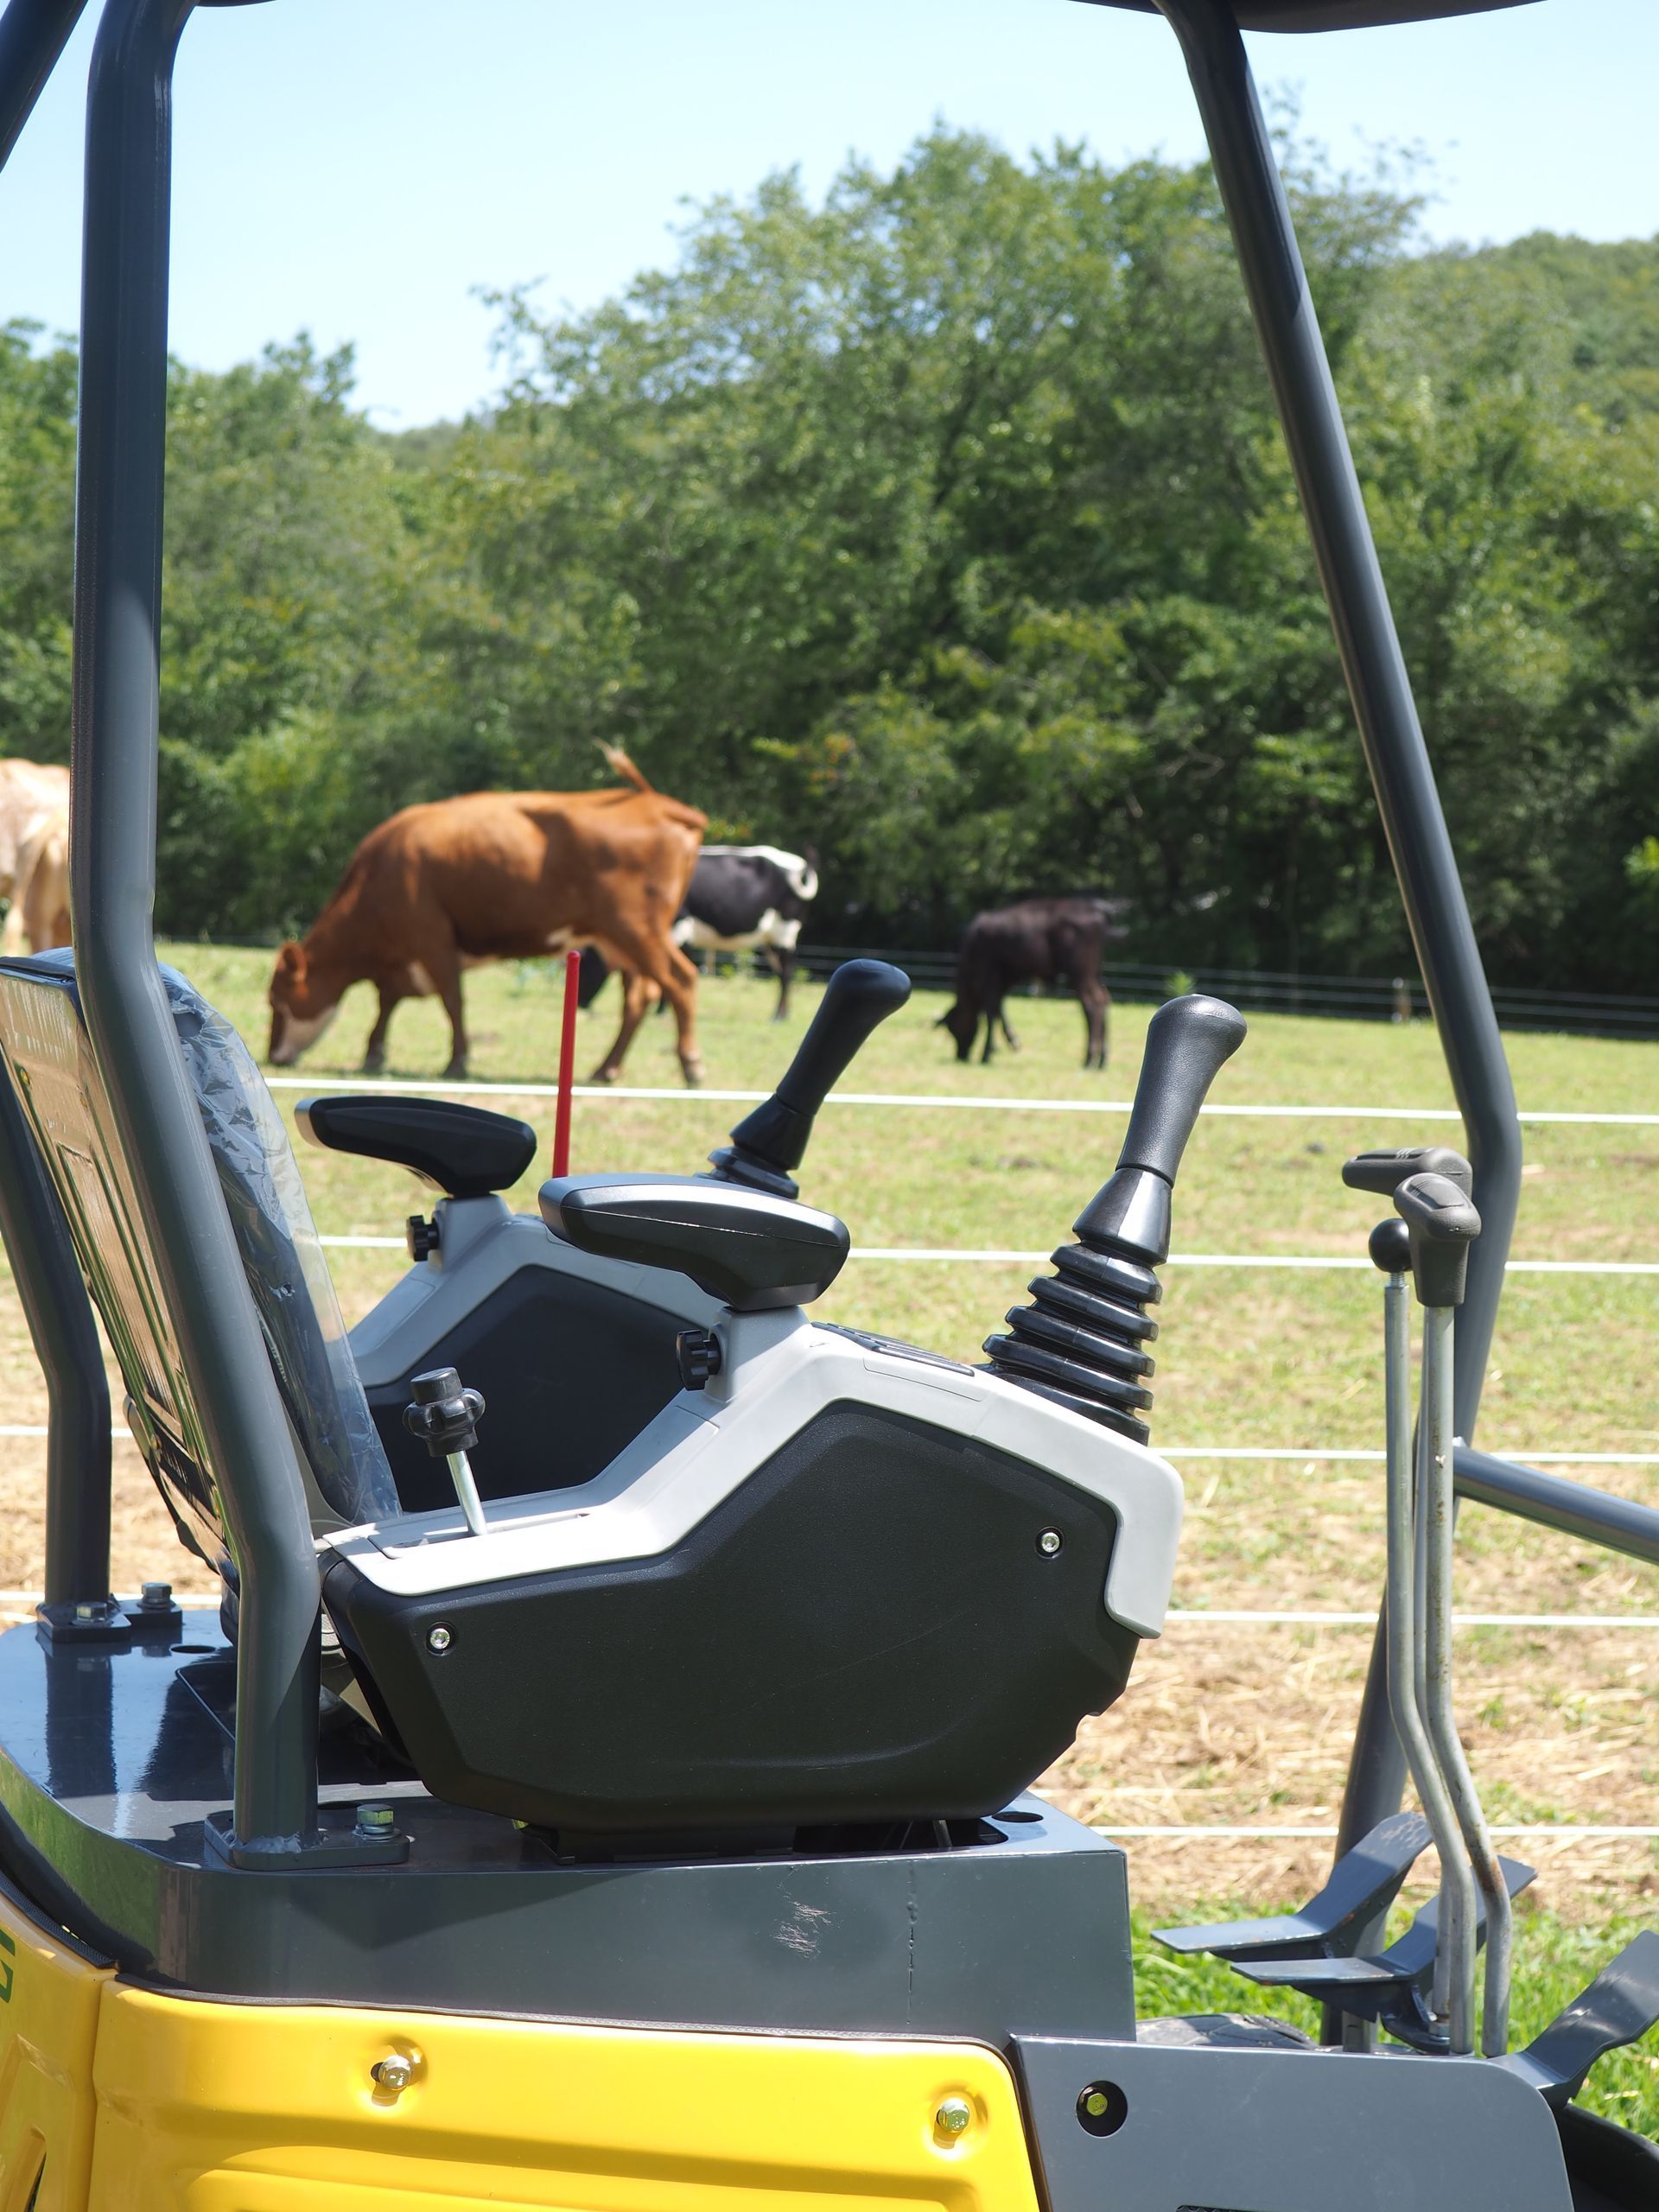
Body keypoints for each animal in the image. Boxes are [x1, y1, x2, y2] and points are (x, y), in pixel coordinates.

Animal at [266, 749, 708, 1086]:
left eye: (276, 999)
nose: (272, 1056)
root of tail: (655, 803)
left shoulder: (431, 936)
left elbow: (452, 999)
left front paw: (456, 1062)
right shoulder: (403, 957)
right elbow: (387, 1002)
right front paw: (374, 1054)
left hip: (637, 929)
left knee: (681, 980)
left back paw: (690, 1065)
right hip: (617, 940)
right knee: (640, 998)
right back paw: (606, 1069)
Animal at [937, 896, 1128, 1070]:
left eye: (952, 1029)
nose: (960, 1056)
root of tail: (1096, 908)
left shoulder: (990, 973)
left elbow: (991, 1012)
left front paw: (986, 1054)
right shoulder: (1004, 979)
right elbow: (999, 1009)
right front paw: (1011, 1040)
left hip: (1080, 971)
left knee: (1092, 1003)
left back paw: (1089, 1060)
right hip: (1095, 971)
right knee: (1104, 999)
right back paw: (1102, 1060)